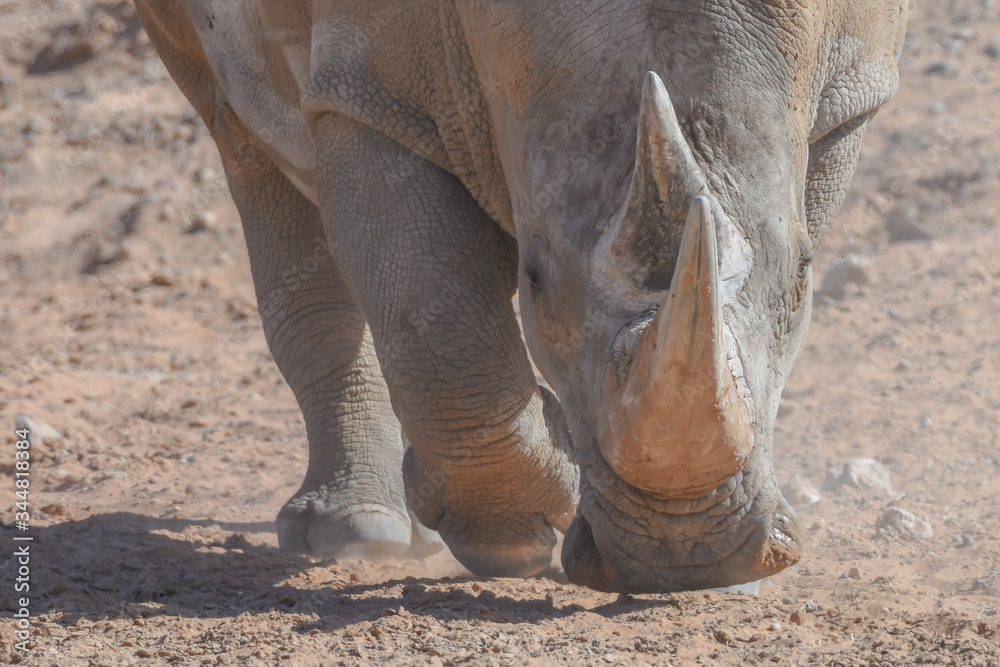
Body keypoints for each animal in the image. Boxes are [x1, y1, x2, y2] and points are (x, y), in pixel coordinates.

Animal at [134, 0, 907, 592]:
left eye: (806, 278)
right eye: (536, 282)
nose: (684, 556)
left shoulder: (851, 94)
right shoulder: (372, 94)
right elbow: (437, 321)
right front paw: (515, 531)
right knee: (244, 136)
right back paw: (361, 533)